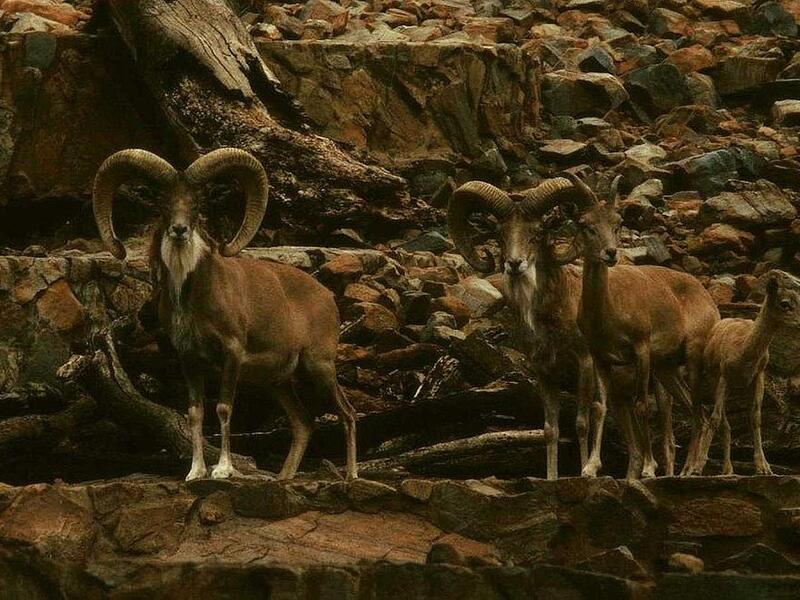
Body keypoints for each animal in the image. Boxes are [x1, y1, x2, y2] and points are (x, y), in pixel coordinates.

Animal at [92, 148, 358, 481]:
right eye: (163, 202)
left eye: (197, 203)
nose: (179, 230)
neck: (192, 297)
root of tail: (327, 297)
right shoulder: (189, 360)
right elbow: (195, 414)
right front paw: (195, 473)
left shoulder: (232, 353)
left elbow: (223, 408)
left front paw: (222, 471)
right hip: (278, 383)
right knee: (303, 423)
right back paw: (283, 479)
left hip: (318, 367)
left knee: (347, 413)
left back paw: (352, 477)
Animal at [448, 178, 604, 479]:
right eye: (499, 233)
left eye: (538, 231)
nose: (514, 263)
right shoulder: (545, 374)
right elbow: (550, 430)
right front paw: (552, 478)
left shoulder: (585, 364)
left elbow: (582, 423)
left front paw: (584, 473)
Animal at [564, 172, 720, 478]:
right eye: (586, 225)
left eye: (617, 223)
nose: (610, 253)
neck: (609, 310)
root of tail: (710, 302)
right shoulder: (602, 358)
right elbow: (600, 406)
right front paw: (590, 467)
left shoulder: (641, 349)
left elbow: (640, 406)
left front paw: (648, 469)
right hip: (667, 368)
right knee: (700, 413)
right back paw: (690, 468)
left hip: (691, 358)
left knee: (700, 411)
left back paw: (692, 468)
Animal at [682, 270, 800, 476]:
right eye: (785, 303)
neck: (743, 351)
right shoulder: (723, 376)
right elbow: (715, 418)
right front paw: (697, 467)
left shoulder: (758, 376)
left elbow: (755, 417)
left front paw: (764, 467)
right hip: (715, 380)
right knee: (723, 421)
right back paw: (724, 469)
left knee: (729, 423)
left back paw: (728, 469)